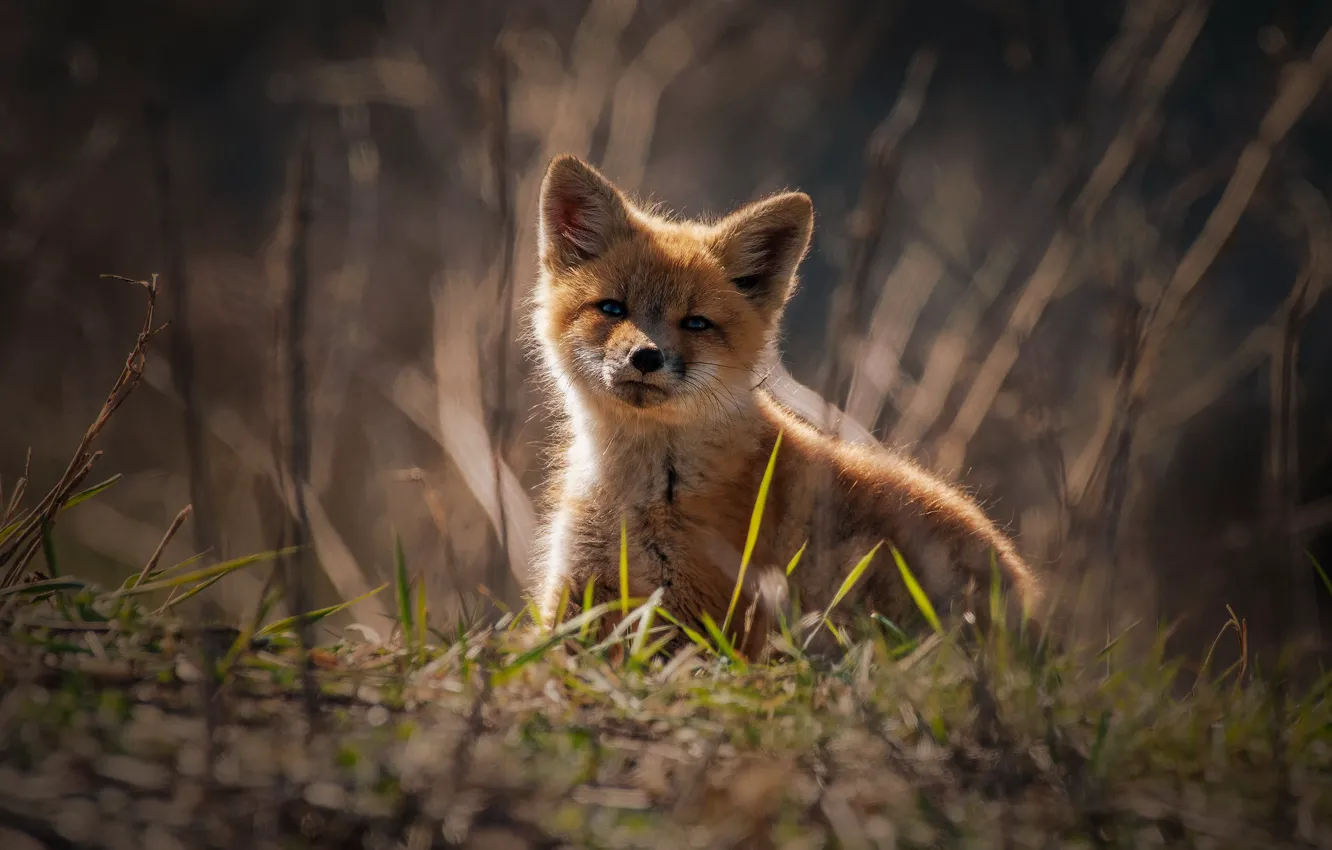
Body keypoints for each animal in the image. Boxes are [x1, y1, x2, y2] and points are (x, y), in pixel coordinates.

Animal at [527, 153, 1043, 658]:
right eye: (613, 309)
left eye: (696, 323)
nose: (646, 356)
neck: (639, 492)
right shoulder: (577, 594)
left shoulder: (702, 616)